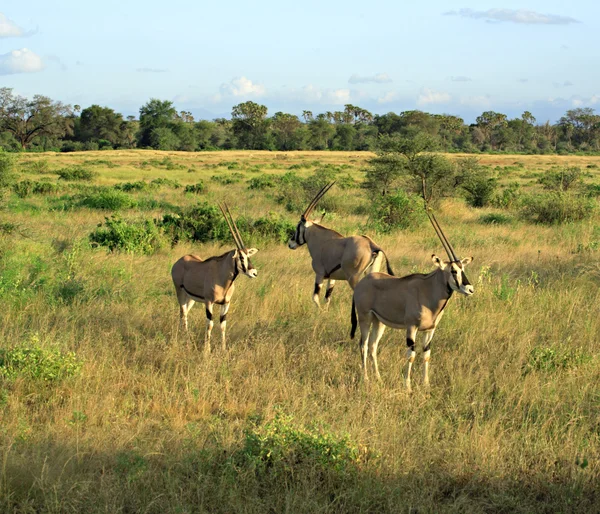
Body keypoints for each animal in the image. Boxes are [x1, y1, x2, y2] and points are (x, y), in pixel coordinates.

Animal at [172, 202, 258, 350]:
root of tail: (179, 261)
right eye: (241, 257)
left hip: (191, 297)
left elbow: (223, 325)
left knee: (185, 313)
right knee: (183, 313)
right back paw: (185, 339)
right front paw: (207, 349)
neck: (223, 277)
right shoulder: (209, 302)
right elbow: (210, 324)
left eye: (249, 255)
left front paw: (223, 349)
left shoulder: (226, 303)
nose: (254, 273)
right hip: (180, 292)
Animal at [352, 208, 474, 388]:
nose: (470, 289)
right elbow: (411, 355)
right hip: (364, 318)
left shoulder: (430, 330)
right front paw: (408, 386)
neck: (428, 290)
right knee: (364, 345)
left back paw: (379, 378)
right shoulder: (411, 328)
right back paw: (366, 379)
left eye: (462, 268)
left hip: (379, 322)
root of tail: (365, 280)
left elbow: (426, 355)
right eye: (453, 270)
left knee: (373, 346)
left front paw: (426, 385)